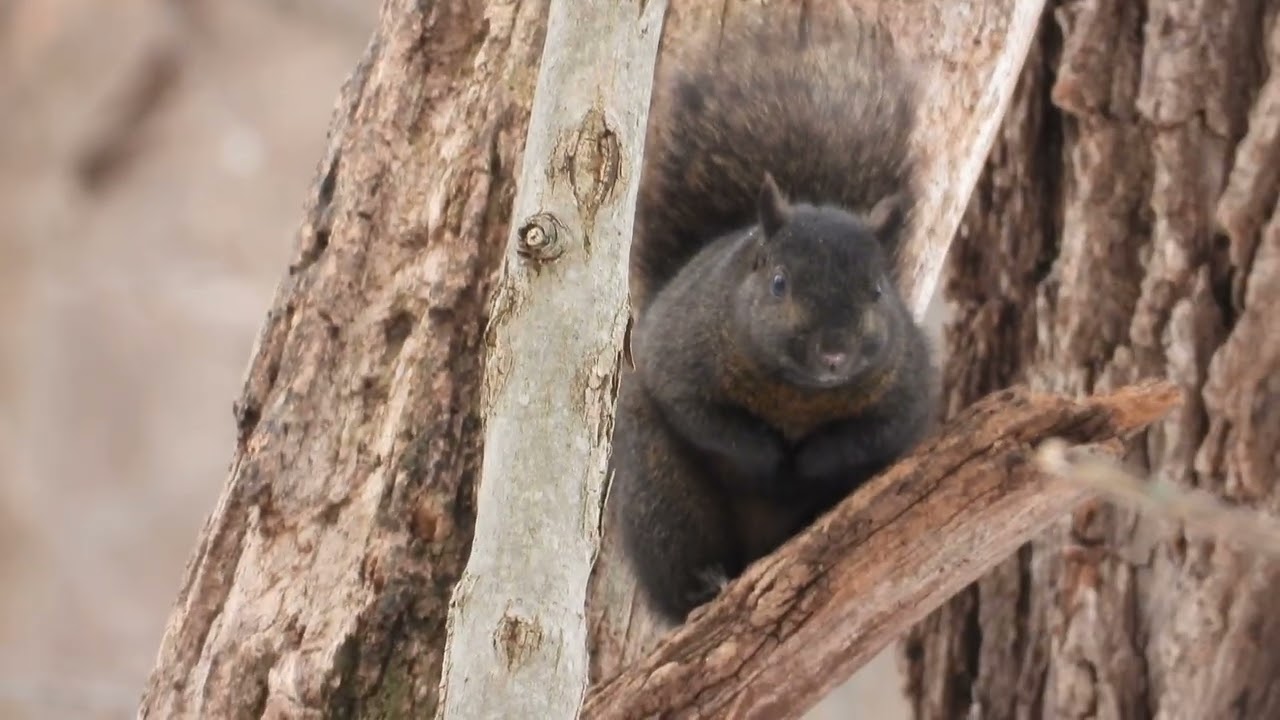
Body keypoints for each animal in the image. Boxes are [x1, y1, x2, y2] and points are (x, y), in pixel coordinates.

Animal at [608, 11, 940, 626]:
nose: (834, 352)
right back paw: (703, 586)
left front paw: (811, 461)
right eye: (779, 282)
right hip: (661, 497)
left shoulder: (907, 389)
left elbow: (873, 432)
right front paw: (766, 458)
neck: (799, 395)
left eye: (878, 291)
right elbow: (706, 418)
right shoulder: (678, 354)